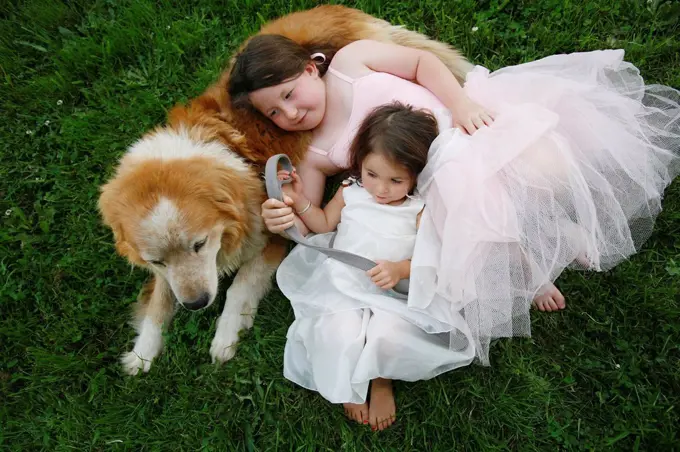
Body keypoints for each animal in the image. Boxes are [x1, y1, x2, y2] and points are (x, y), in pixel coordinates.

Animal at [98, 5, 472, 376]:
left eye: (199, 244)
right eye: (155, 260)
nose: (196, 304)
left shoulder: (271, 240)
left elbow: (239, 287)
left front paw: (225, 336)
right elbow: (159, 299)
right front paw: (142, 352)